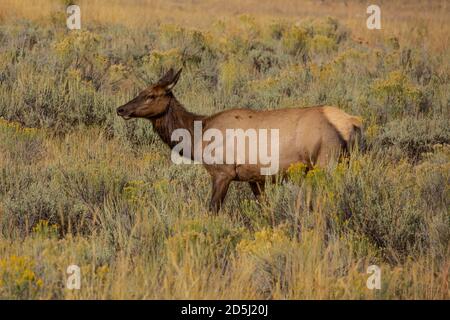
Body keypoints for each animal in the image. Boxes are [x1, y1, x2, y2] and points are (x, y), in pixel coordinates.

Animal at [116, 68, 362, 212]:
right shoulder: (256, 178)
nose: (121, 109)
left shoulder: (222, 172)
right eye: (140, 91)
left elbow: (212, 209)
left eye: (151, 95)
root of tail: (351, 123)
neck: (198, 135)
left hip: (326, 162)